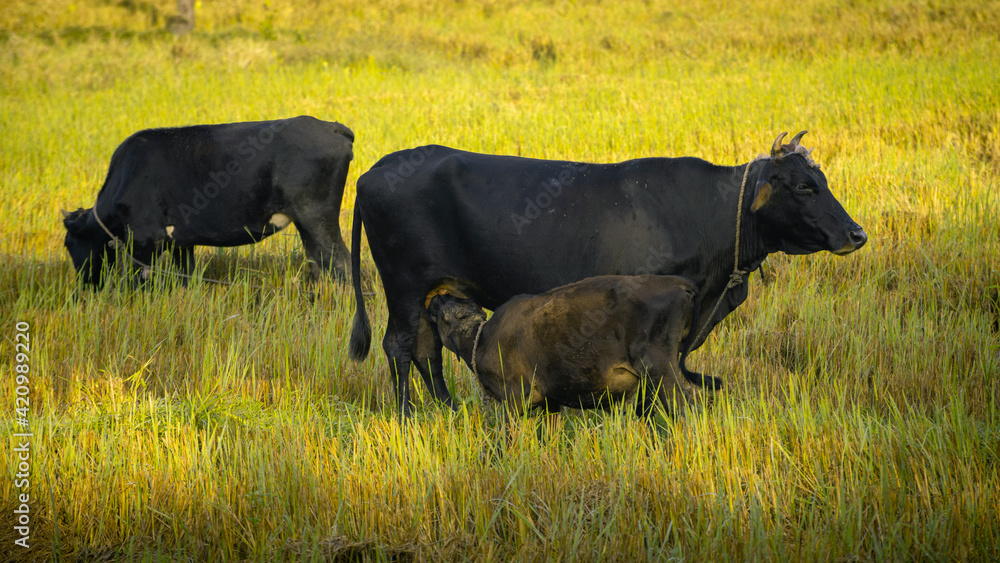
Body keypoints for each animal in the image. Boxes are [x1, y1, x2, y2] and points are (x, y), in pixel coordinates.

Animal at [62, 116, 354, 287]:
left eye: (67, 243)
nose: (85, 285)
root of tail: (331, 126)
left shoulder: (144, 239)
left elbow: (139, 283)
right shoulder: (181, 242)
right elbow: (185, 277)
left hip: (316, 215)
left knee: (341, 262)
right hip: (306, 223)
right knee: (317, 262)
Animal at [425, 275, 718, 421]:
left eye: (446, 313)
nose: (438, 297)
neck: (482, 339)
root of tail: (678, 282)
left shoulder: (515, 398)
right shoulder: (549, 402)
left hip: (659, 368)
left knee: (687, 406)